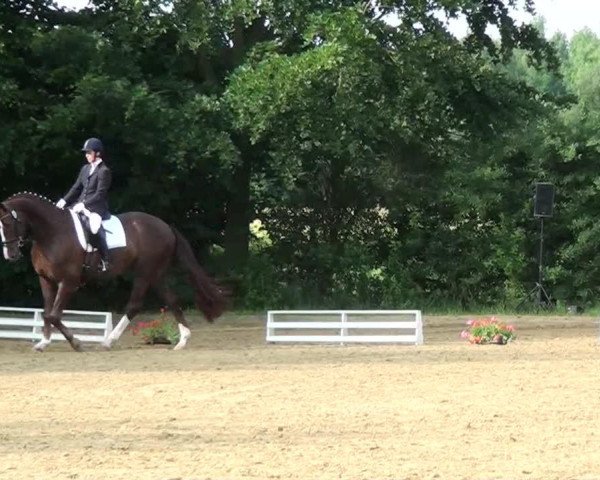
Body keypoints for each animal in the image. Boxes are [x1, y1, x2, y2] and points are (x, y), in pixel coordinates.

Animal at [0, 191, 227, 352]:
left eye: (8, 222)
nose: (10, 255)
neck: (51, 232)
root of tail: (165, 226)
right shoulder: (46, 280)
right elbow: (47, 313)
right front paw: (44, 343)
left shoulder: (69, 282)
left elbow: (54, 315)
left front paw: (76, 343)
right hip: (156, 275)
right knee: (171, 300)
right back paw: (183, 340)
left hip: (145, 273)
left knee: (135, 305)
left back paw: (109, 341)